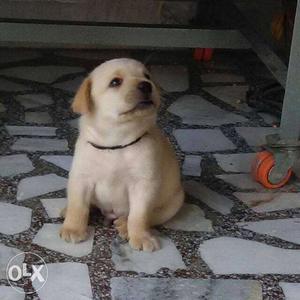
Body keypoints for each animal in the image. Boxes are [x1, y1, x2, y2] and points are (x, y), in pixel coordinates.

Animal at [59, 58, 184, 251]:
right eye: (115, 82)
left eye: (147, 76)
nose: (146, 85)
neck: (116, 142)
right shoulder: (81, 177)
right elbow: (78, 206)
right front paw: (73, 228)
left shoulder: (143, 184)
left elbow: (139, 216)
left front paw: (140, 236)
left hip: (173, 203)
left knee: (149, 217)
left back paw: (125, 226)